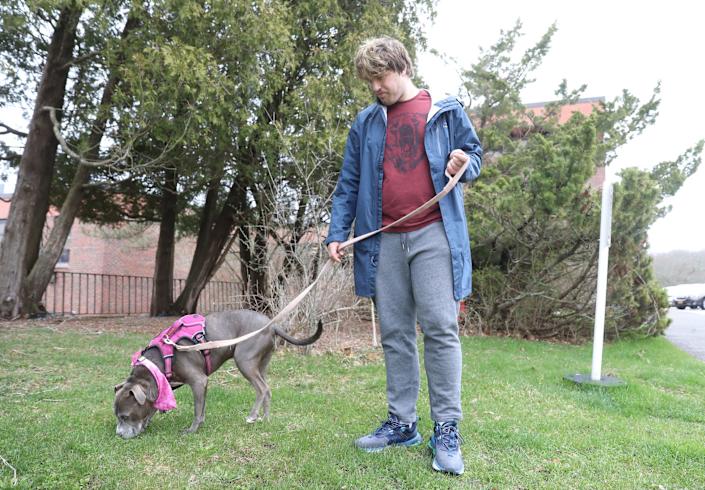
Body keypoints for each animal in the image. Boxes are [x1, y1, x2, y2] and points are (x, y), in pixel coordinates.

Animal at [113, 309, 322, 439]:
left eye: (124, 416)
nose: (118, 434)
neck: (157, 363)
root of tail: (272, 325)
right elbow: (164, 406)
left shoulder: (198, 381)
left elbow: (197, 409)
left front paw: (192, 430)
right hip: (261, 363)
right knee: (268, 390)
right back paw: (265, 418)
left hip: (244, 360)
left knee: (261, 389)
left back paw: (252, 416)